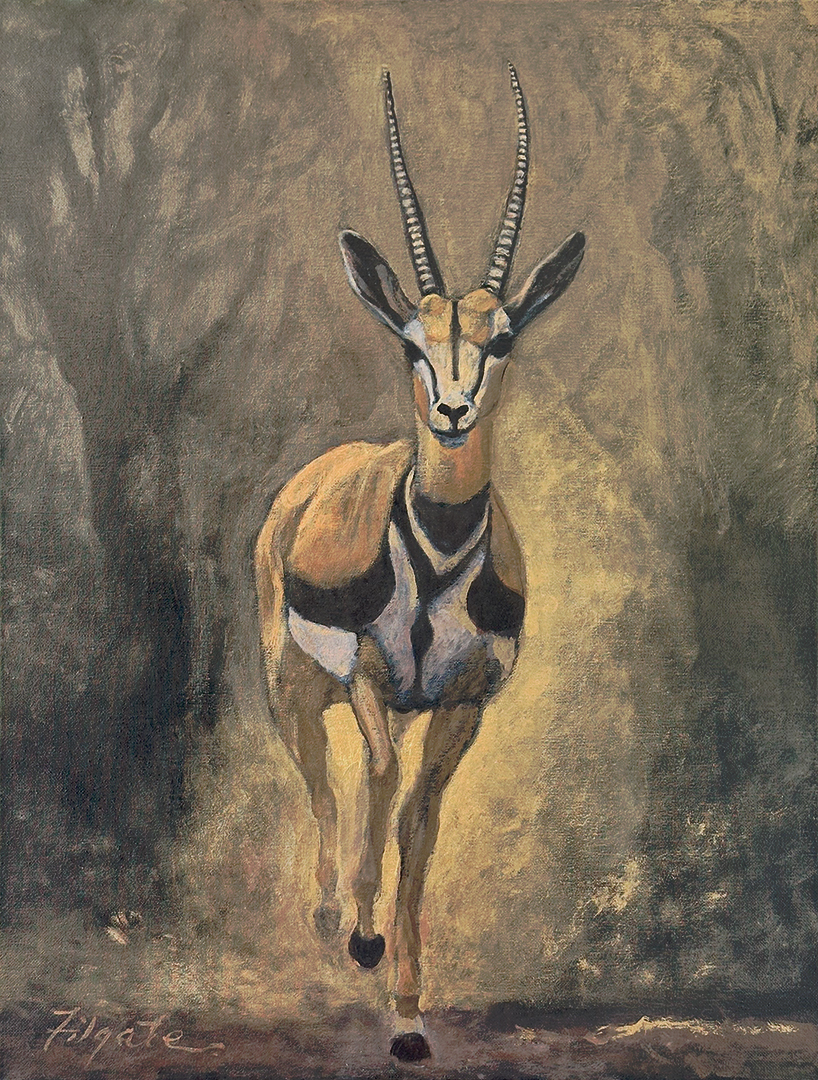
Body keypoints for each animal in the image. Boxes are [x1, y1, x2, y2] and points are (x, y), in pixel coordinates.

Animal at [255, 64, 585, 1062]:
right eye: (411, 338)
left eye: (502, 337)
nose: (452, 411)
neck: (436, 555)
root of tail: (310, 480)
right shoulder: (367, 674)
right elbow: (375, 784)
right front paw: (364, 942)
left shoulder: (462, 703)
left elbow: (419, 824)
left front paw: (406, 1013)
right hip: (294, 689)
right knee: (323, 782)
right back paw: (332, 919)